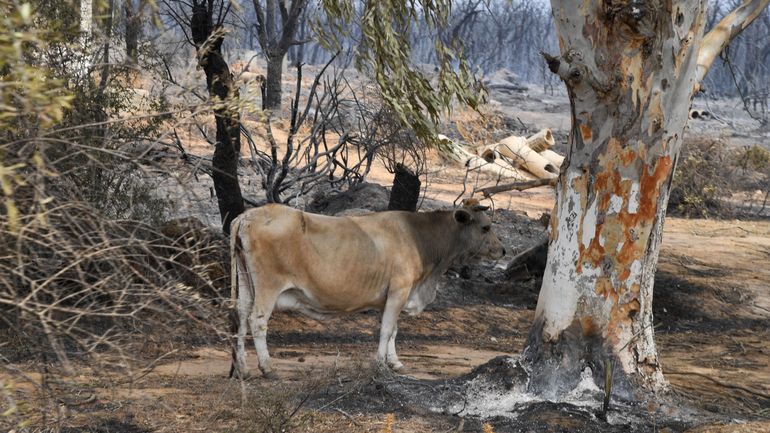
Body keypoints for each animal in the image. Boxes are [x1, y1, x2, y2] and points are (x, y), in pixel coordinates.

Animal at [226, 200, 504, 378]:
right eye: (486, 227)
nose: (502, 250)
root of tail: (248, 216)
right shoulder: (399, 289)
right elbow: (387, 329)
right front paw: (380, 364)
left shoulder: (396, 294)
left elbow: (394, 330)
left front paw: (395, 362)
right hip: (268, 285)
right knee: (257, 320)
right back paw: (267, 368)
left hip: (246, 282)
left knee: (241, 315)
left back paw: (243, 369)